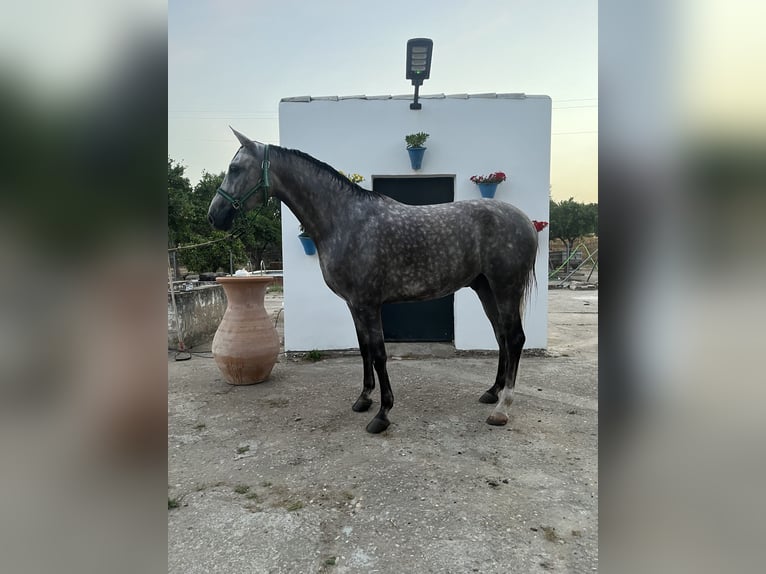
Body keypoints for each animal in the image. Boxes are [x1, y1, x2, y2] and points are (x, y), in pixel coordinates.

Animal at [207, 129, 536, 436]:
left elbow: (378, 354)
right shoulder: (355, 305)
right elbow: (364, 349)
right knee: (501, 336)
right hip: (485, 288)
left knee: (515, 338)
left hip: (506, 288)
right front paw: (364, 399)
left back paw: (502, 408)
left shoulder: (368, 304)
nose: (214, 216)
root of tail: (527, 221)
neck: (345, 220)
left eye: (235, 168)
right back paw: (492, 392)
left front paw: (383, 414)